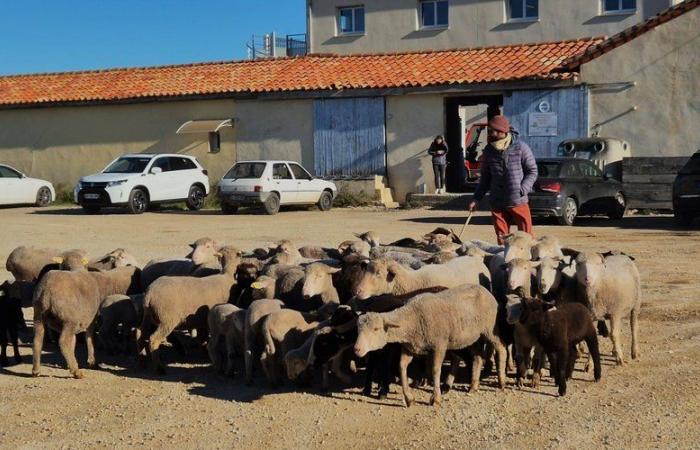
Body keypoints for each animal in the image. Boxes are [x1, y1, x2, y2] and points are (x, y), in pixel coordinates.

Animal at [356, 284, 504, 408]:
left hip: (489, 328)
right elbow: (402, 366)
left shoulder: (439, 345)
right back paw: (473, 386)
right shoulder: (410, 347)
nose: (357, 349)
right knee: (478, 357)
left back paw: (501, 382)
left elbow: (435, 370)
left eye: (376, 329)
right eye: (358, 329)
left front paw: (435, 399)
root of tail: (484, 289)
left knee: (500, 348)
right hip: (470, 337)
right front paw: (409, 398)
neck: (412, 318)